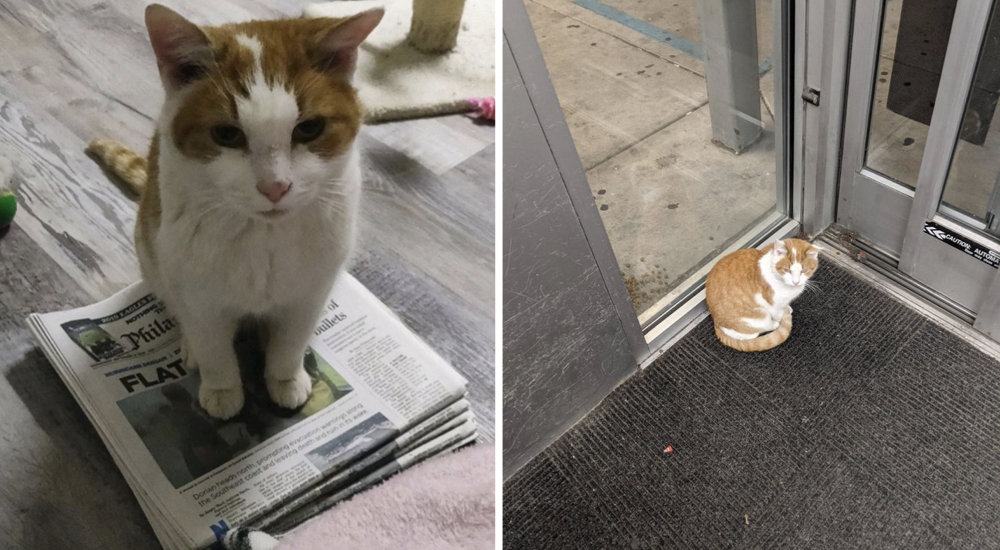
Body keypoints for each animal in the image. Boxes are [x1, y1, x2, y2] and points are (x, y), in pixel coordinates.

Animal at [87, 4, 382, 420]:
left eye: (309, 128)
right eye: (227, 135)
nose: (276, 187)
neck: (263, 238)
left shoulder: (311, 290)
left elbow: (290, 342)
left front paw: (286, 378)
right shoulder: (198, 295)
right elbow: (213, 348)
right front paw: (222, 389)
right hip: (152, 251)